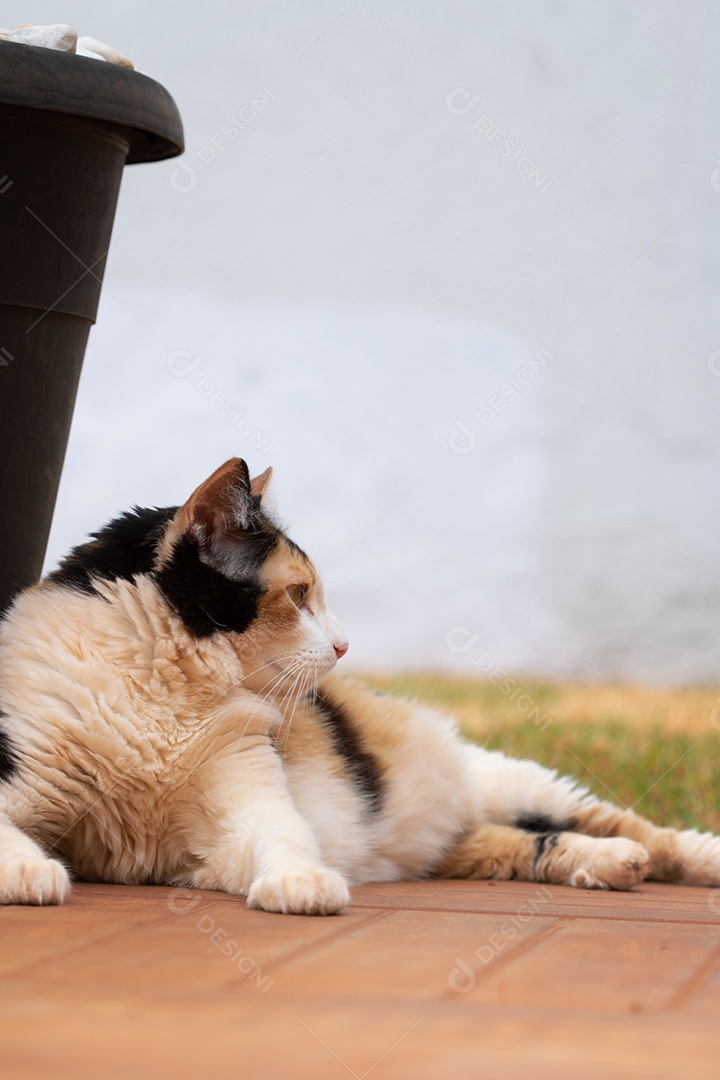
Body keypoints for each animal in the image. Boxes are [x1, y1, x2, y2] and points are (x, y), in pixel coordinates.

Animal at [1, 455, 720, 911]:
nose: (346, 644)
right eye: (299, 596)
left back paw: (682, 857)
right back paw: (610, 865)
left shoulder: (248, 797)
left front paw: (303, 884)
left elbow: (282, 835)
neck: (161, 691)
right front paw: (28, 872)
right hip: (470, 840)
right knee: (532, 844)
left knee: (637, 828)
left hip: (517, 783)